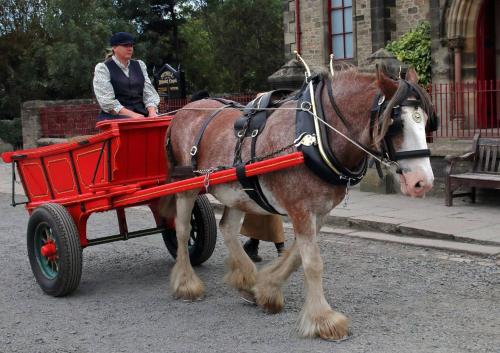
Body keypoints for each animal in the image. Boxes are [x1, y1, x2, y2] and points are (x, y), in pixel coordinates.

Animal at [160, 64, 434, 340]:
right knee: (183, 230)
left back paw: (246, 279)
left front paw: (268, 289)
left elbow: (295, 257)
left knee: (227, 228)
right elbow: (312, 262)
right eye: (396, 123)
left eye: (425, 121)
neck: (315, 134)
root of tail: (185, 109)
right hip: (186, 188)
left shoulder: (318, 211)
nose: (422, 182)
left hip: (237, 190)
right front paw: (323, 319)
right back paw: (186, 283)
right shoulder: (300, 208)